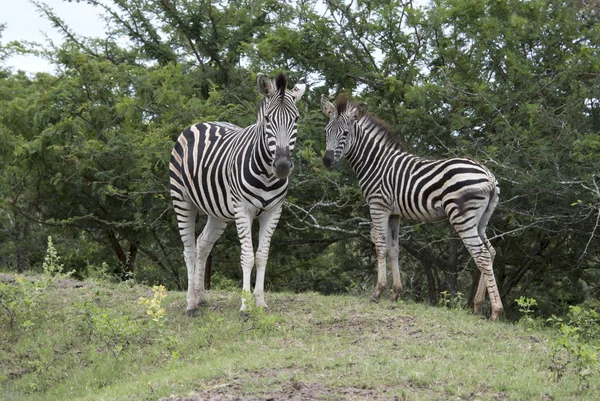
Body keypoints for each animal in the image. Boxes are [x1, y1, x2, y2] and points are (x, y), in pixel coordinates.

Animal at [171, 72, 308, 316]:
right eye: (268, 120)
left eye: (297, 119)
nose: (282, 166)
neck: (267, 174)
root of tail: (202, 123)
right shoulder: (243, 210)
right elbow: (247, 256)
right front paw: (245, 306)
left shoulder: (273, 211)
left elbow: (262, 256)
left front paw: (260, 302)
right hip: (182, 200)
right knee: (189, 250)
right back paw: (190, 304)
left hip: (218, 212)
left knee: (202, 244)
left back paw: (200, 297)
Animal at [322, 94, 504, 318]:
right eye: (326, 131)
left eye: (345, 133)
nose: (326, 161)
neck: (375, 162)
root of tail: (488, 174)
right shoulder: (394, 213)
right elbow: (394, 248)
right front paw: (395, 293)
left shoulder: (378, 206)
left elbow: (380, 245)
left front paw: (378, 292)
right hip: (481, 221)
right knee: (491, 252)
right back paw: (478, 306)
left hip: (462, 217)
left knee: (482, 255)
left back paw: (495, 311)